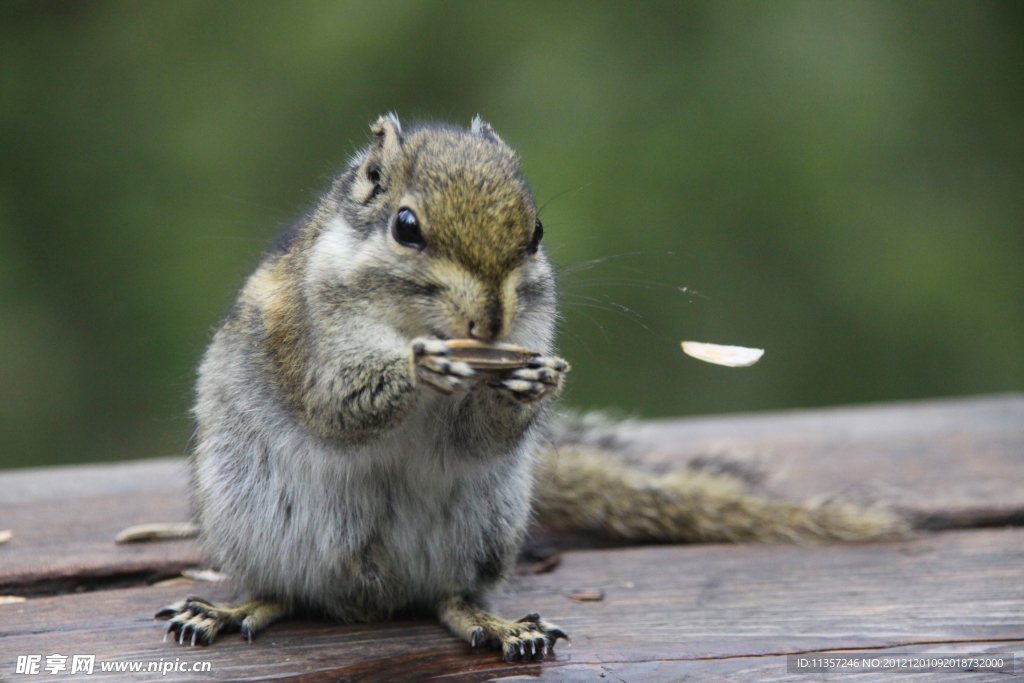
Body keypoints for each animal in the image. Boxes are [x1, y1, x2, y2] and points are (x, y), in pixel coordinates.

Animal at [153, 116, 905, 663]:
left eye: (536, 231)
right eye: (405, 226)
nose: (490, 323)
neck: (413, 326)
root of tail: (368, 599)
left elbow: (483, 432)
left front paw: (531, 382)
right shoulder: (305, 343)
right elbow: (337, 405)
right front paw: (422, 368)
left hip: (484, 530)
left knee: (448, 599)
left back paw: (499, 624)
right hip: (252, 520)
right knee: (284, 594)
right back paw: (229, 608)